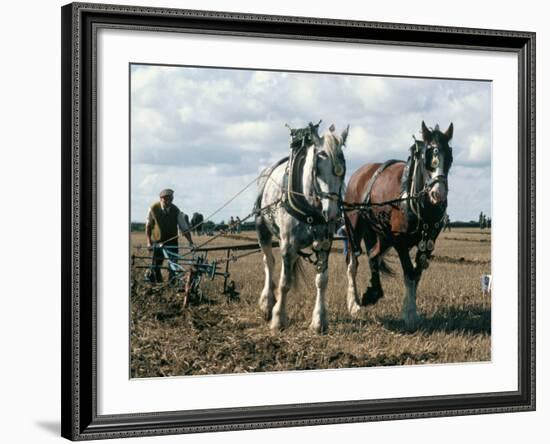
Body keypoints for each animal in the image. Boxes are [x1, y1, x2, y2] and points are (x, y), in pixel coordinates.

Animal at [256, 121, 350, 332]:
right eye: (318, 168)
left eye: (343, 170)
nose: (332, 214)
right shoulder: (287, 244)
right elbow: (285, 282)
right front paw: (278, 319)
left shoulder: (324, 243)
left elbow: (322, 280)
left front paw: (319, 321)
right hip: (262, 229)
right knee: (269, 262)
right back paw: (267, 302)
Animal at [344, 121, 458, 330]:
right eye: (427, 156)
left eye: (450, 156)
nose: (438, 194)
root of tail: (361, 172)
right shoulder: (400, 242)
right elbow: (409, 274)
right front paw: (410, 315)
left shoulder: (427, 243)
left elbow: (416, 274)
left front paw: (409, 310)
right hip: (354, 228)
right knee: (352, 263)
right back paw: (353, 303)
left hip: (383, 236)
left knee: (373, 256)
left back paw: (373, 292)